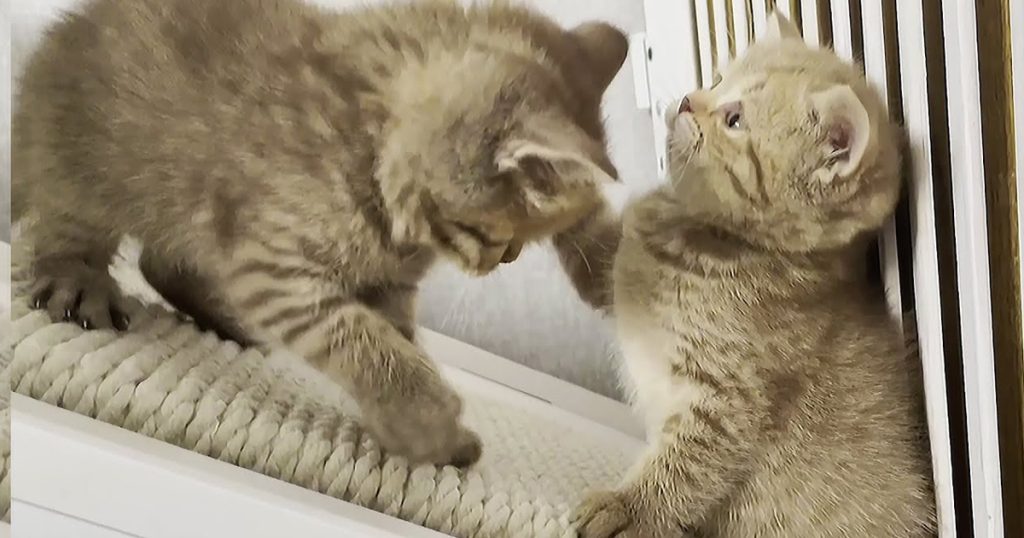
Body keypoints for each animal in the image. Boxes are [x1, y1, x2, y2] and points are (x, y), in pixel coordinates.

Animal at [12, 0, 626, 463]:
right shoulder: (279, 271)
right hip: (94, 171)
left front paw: (422, 435)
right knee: (69, 229)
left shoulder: (386, 290)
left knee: (160, 262)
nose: (507, 260)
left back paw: (224, 320)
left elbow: (397, 342)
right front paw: (430, 419)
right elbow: (369, 346)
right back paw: (80, 283)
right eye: (499, 236)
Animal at [569, 12, 937, 536]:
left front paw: (626, 508)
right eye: (718, 79)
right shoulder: (611, 280)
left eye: (734, 119)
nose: (688, 99)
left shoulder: (726, 403)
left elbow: (683, 468)